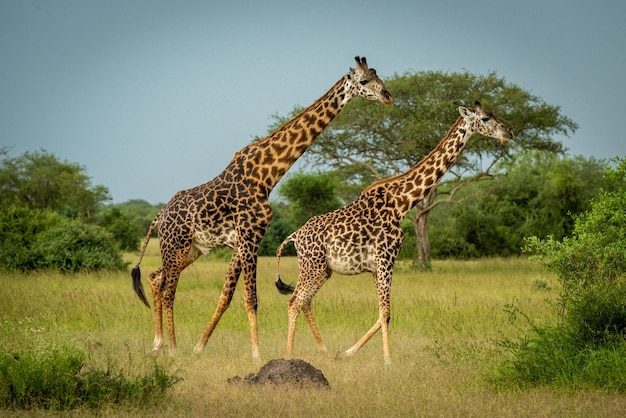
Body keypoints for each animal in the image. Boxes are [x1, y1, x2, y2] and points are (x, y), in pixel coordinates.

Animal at [131, 55, 390, 358]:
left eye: (378, 77)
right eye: (364, 81)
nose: (388, 96)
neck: (267, 175)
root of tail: (160, 215)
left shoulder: (242, 240)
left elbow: (226, 294)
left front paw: (200, 345)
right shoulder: (250, 235)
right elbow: (251, 297)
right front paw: (256, 353)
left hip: (191, 249)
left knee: (155, 278)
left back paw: (158, 343)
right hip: (177, 244)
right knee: (168, 289)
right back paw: (171, 348)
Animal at [274, 100, 512, 362]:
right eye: (486, 118)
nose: (509, 133)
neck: (402, 203)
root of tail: (294, 236)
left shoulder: (377, 266)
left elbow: (382, 313)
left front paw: (348, 352)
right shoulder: (386, 258)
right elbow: (386, 312)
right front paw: (388, 360)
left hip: (324, 269)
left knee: (305, 301)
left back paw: (323, 350)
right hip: (312, 265)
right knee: (294, 301)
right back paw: (289, 354)